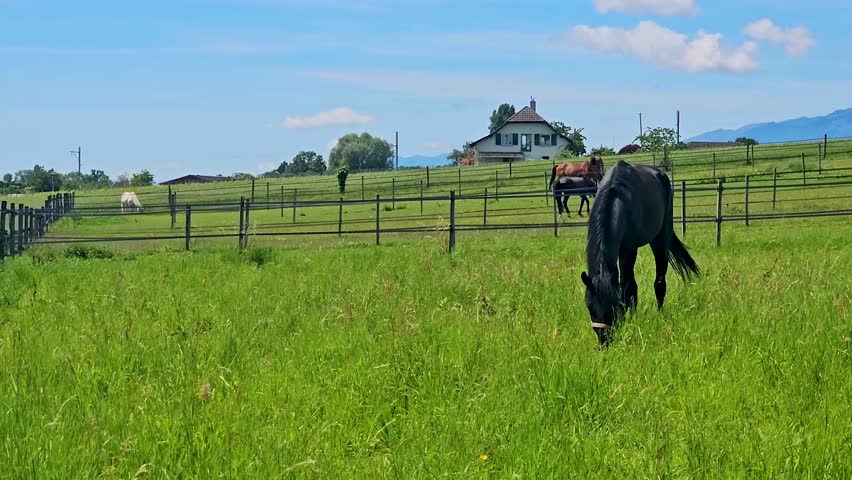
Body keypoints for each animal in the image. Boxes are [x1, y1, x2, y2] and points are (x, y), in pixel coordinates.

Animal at [580, 160, 700, 346]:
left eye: (613, 306)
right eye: (589, 306)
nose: (604, 339)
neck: (618, 198)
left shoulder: (629, 250)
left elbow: (629, 288)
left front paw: (631, 320)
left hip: (659, 238)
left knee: (660, 282)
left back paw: (660, 315)